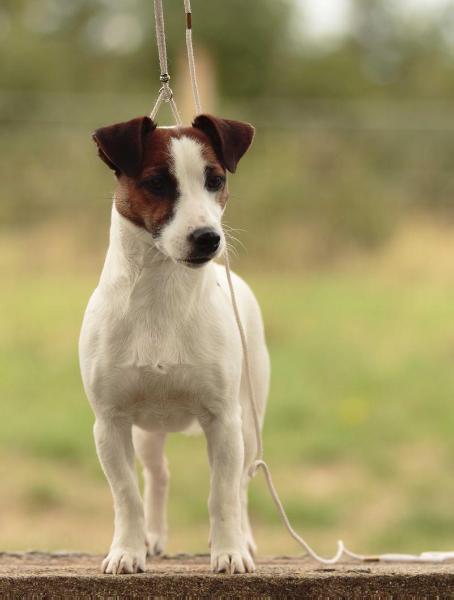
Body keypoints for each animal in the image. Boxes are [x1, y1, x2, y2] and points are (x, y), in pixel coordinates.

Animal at [78, 115, 270, 576]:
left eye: (215, 180)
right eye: (156, 183)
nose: (208, 238)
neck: (160, 297)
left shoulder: (223, 420)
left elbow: (222, 495)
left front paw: (229, 552)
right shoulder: (110, 423)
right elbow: (126, 495)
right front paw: (127, 551)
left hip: (249, 421)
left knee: (240, 484)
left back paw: (244, 539)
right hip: (147, 431)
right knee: (157, 475)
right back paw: (152, 538)